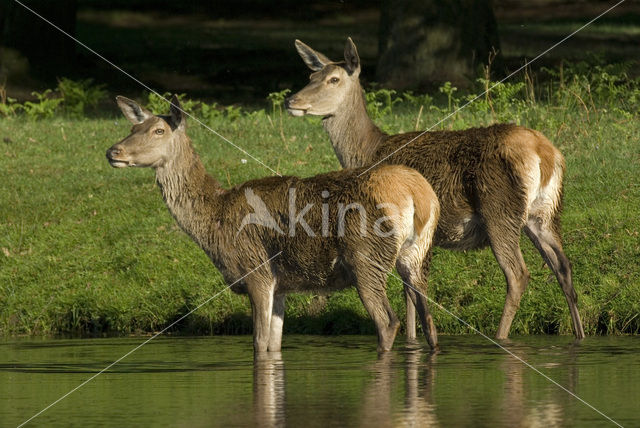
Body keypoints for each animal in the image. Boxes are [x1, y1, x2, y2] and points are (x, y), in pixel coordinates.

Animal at [107, 95, 442, 352]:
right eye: (133, 126)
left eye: (158, 130)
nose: (113, 151)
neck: (215, 223)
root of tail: (418, 194)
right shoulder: (282, 285)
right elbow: (273, 345)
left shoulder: (257, 270)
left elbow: (258, 343)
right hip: (417, 254)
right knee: (429, 320)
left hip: (366, 255)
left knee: (388, 321)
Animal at [288, 37, 588, 342]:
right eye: (311, 76)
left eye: (334, 79)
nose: (292, 100)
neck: (368, 152)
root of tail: (546, 153)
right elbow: (410, 291)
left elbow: (409, 290)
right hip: (545, 212)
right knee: (563, 265)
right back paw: (580, 334)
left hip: (500, 208)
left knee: (517, 273)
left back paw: (500, 337)